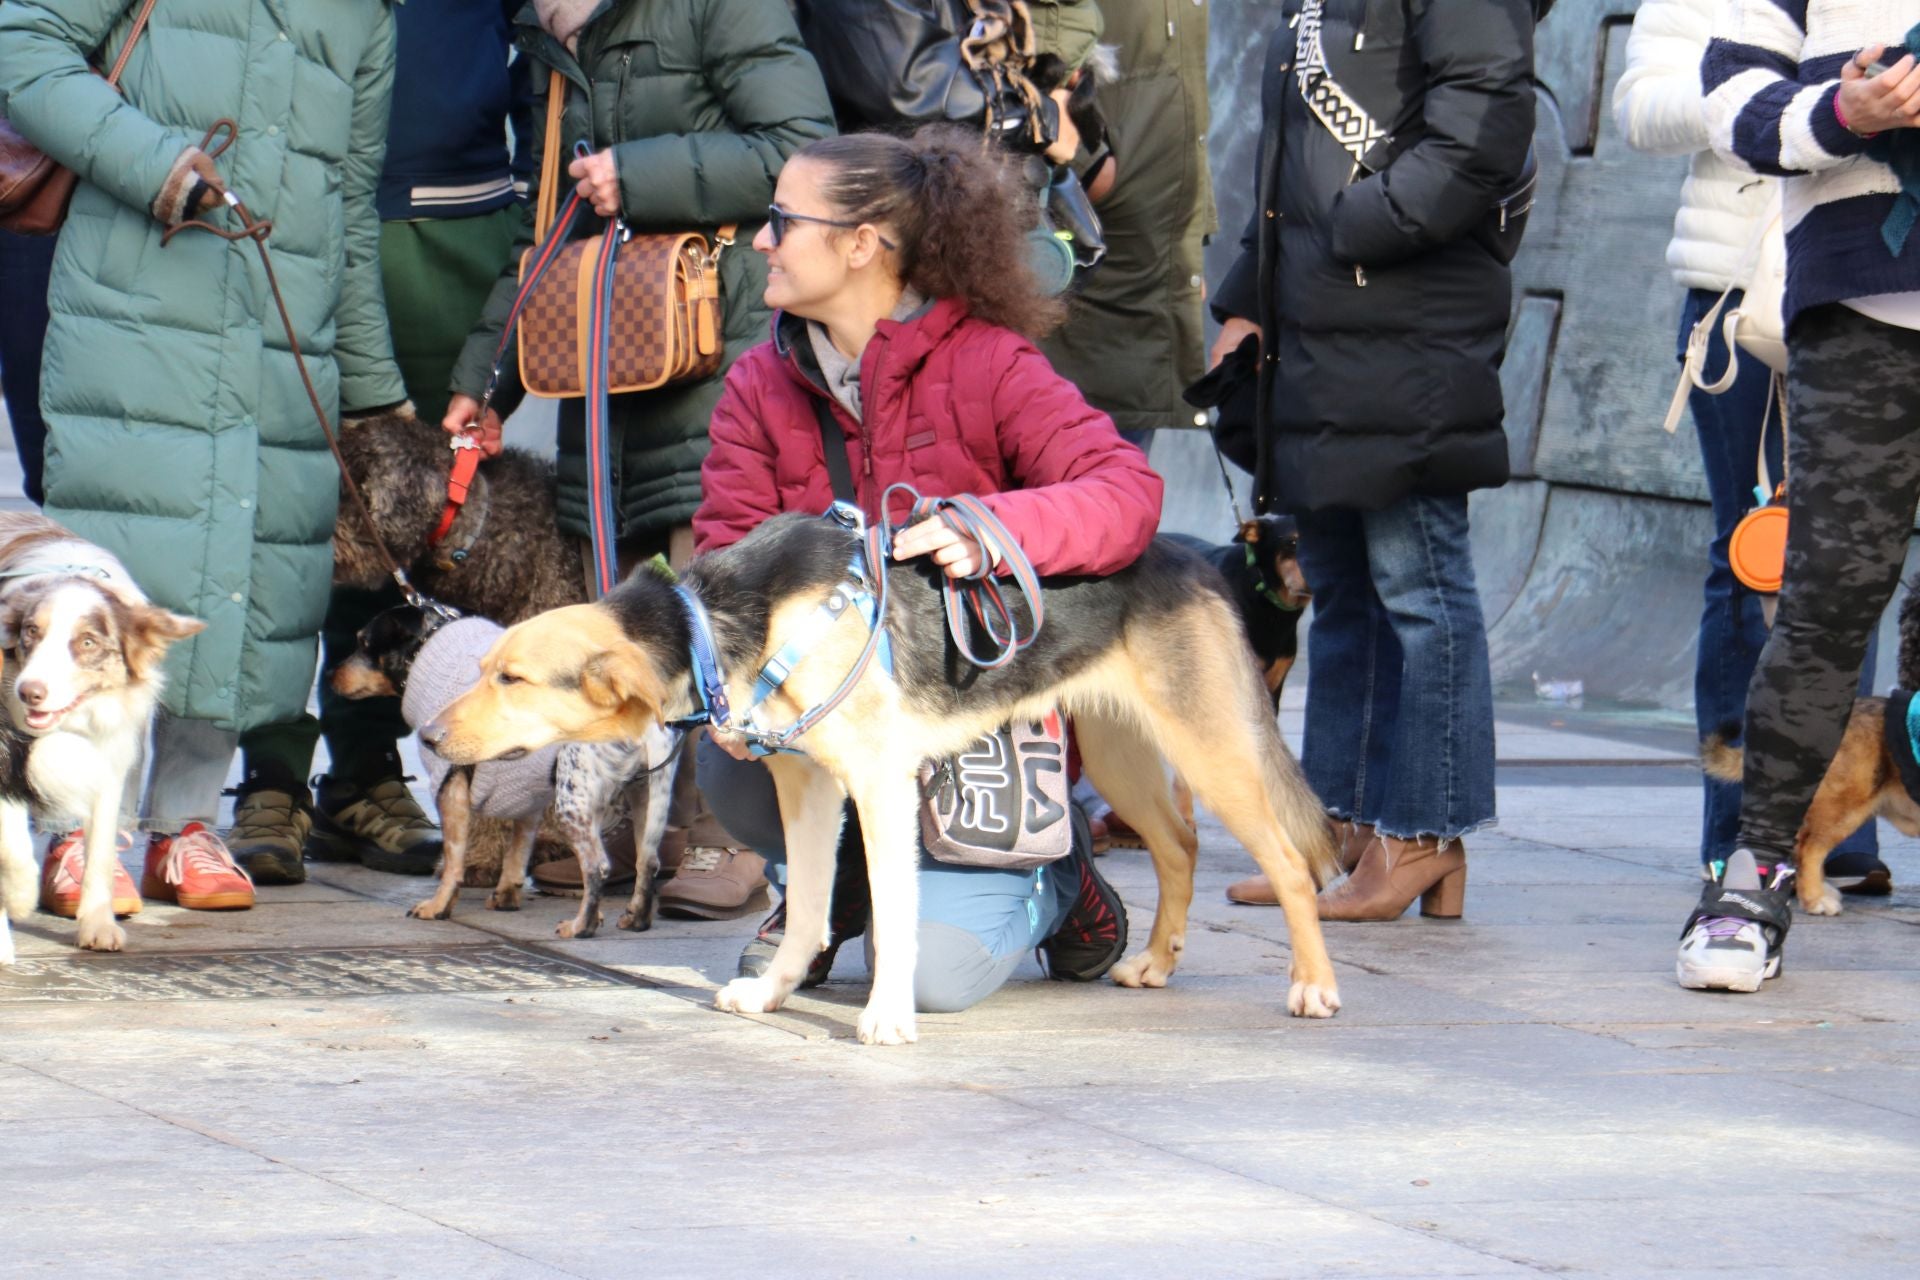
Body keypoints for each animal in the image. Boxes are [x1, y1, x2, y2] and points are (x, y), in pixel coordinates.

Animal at [414, 514, 1344, 1043]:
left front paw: (888, 1017)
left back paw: (1313, 986)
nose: (425, 734)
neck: (718, 624)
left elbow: (894, 921)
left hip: (1210, 747)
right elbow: (808, 909)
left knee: (1289, 864)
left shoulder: (879, 786)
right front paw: (778, 992)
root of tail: (1194, 558)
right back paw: (1153, 961)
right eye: (486, 668)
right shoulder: (808, 786)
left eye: (513, 680)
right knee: (1181, 845)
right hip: (1124, 753)